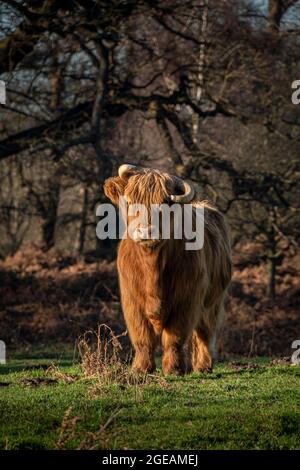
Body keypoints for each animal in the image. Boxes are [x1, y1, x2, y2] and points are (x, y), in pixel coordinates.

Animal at [103, 165, 232, 374]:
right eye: (130, 202)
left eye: (164, 204)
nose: (146, 231)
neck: (152, 265)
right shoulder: (132, 301)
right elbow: (142, 336)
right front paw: (141, 368)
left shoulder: (187, 300)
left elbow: (175, 337)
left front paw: (174, 369)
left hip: (213, 300)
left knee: (205, 332)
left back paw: (203, 366)